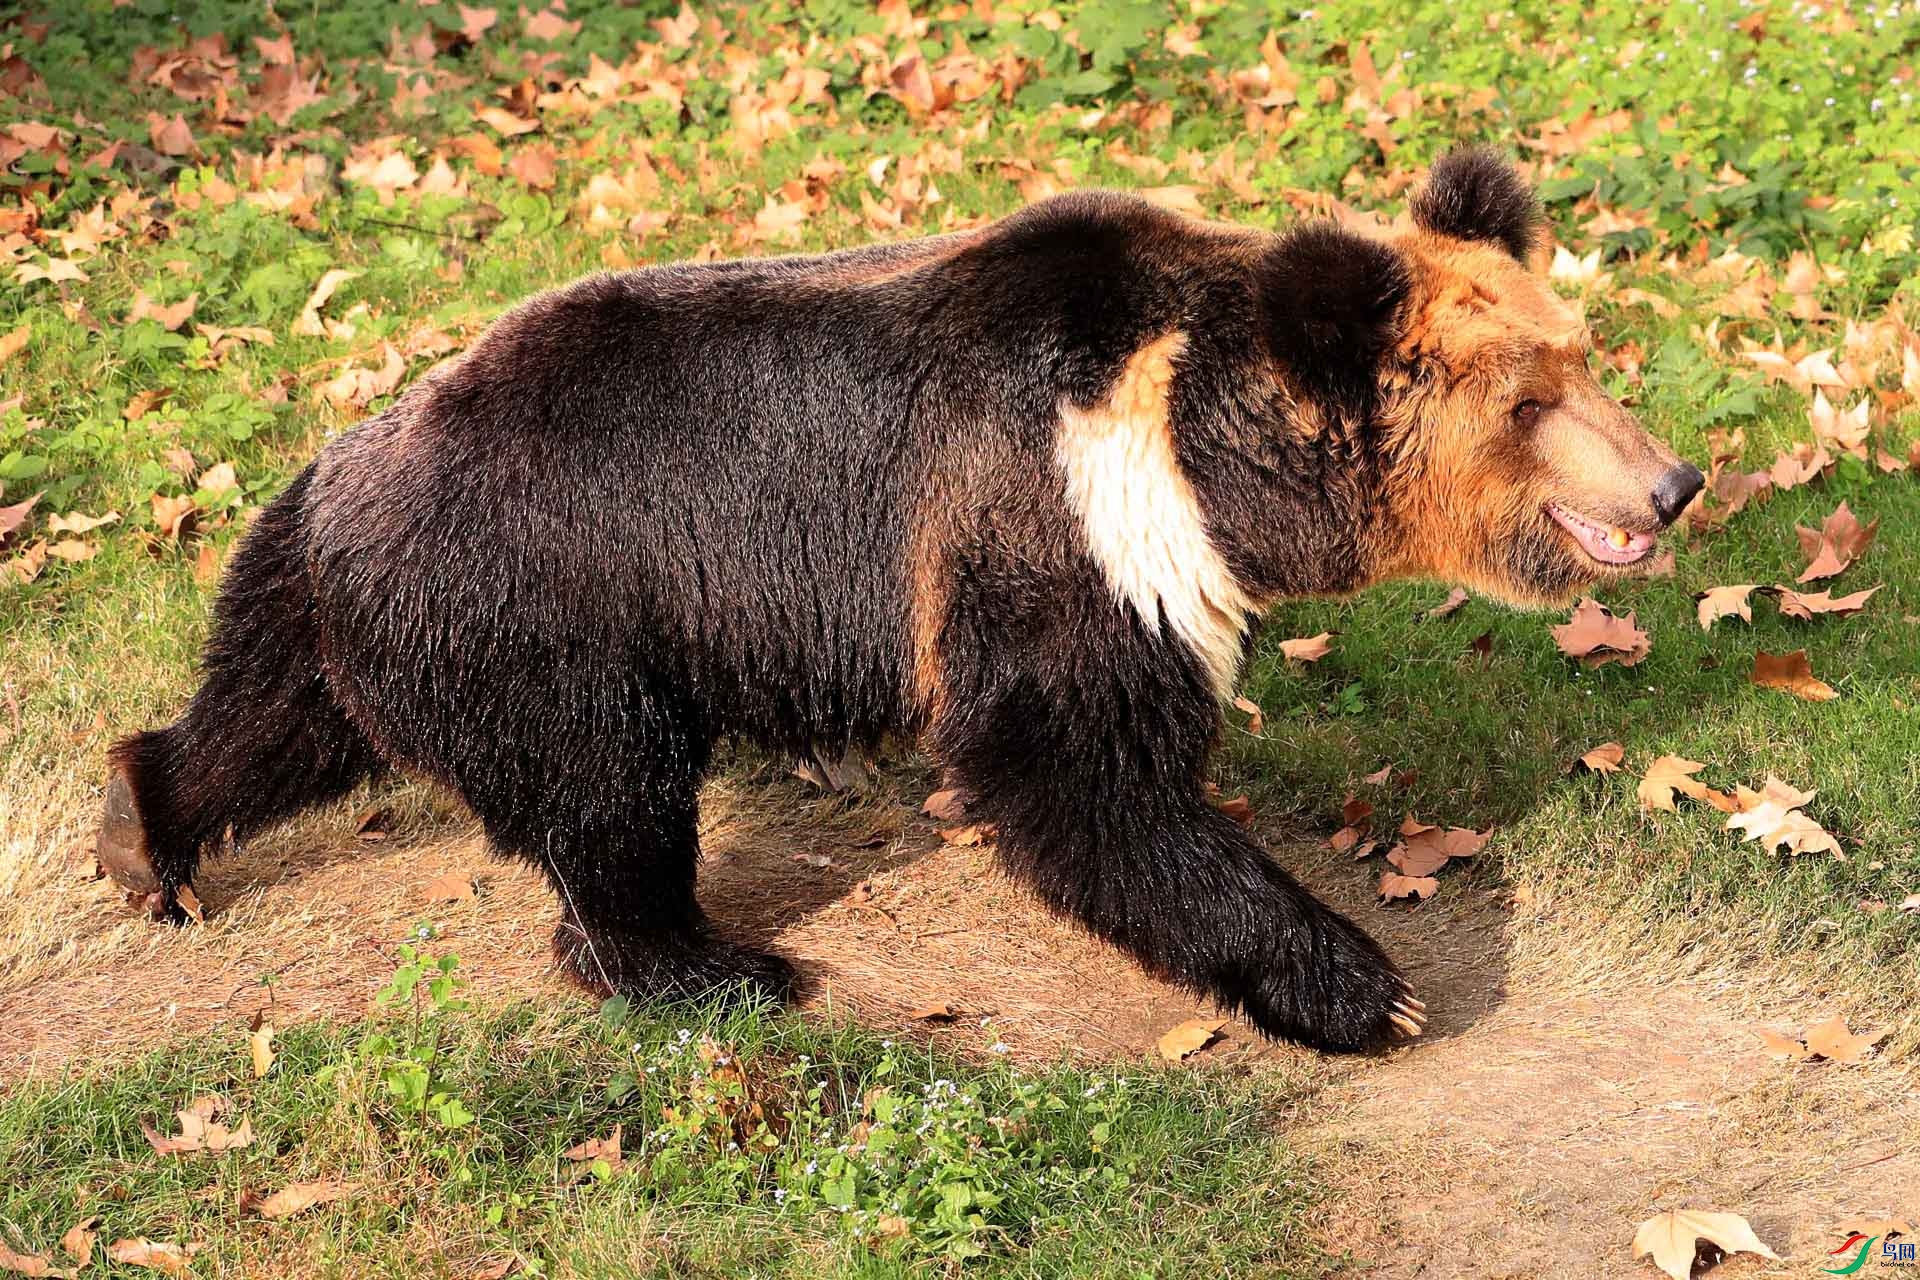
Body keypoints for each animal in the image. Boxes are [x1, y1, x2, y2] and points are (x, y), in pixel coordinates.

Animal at [97, 150, 1704, 1051]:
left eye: (1581, 353)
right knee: (610, 797)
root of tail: (340, 466)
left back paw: (144, 836)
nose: (1675, 481)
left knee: (265, 723)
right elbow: (1075, 772)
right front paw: (1369, 986)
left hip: (349, 608)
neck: (1200, 453)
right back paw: (715, 967)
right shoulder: (1053, 518)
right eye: (1531, 399)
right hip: (545, 606)